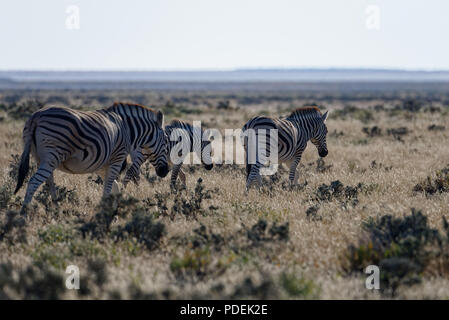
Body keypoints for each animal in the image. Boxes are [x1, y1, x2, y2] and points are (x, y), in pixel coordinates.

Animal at [14, 102, 169, 212]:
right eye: (166, 143)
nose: (165, 171)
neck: (128, 130)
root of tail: (36, 116)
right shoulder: (116, 159)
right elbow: (108, 189)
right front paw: (104, 213)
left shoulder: (102, 165)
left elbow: (115, 187)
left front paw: (114, 212)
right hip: (52, 156)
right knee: (34, 182)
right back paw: (24, 215)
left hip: (40, 158)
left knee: (49, 183)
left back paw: (55, 210)